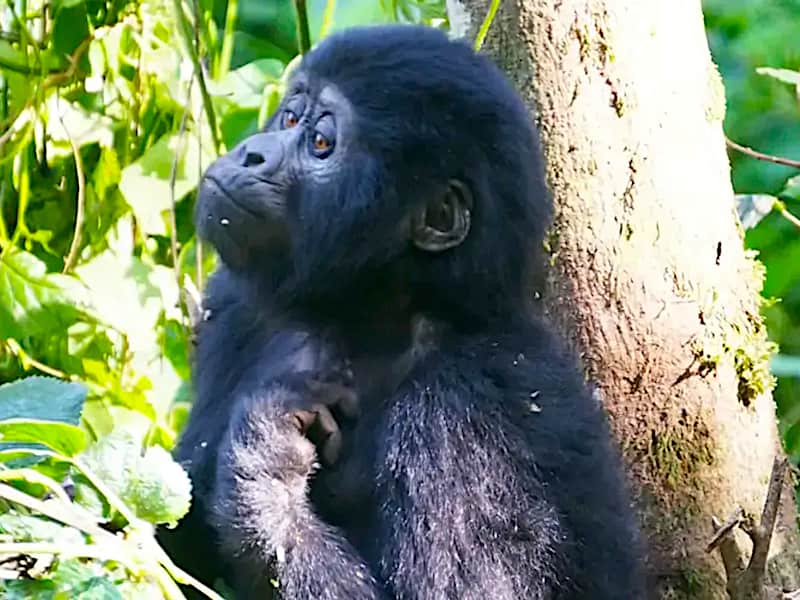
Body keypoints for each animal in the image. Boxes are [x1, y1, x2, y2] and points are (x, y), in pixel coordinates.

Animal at [164, 22, 648, 600]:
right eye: (290, 117)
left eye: (321, 142)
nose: (251, 154)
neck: (375, 317)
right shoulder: (237, 306)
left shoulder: (464, 409)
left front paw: (265, 460)